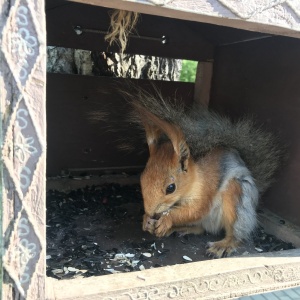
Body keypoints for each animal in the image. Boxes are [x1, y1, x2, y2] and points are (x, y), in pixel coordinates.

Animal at [123, 87, 282, 258]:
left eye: (171, 188)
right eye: (142, 179)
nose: (151, 212)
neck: (192, 181)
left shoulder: (205, 190)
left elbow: (196, 209)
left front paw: (167, 219)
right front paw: (146, 220)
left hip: (237, 197)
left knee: (237, 232)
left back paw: (224, 245)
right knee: (200, 228)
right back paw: (181, 228)